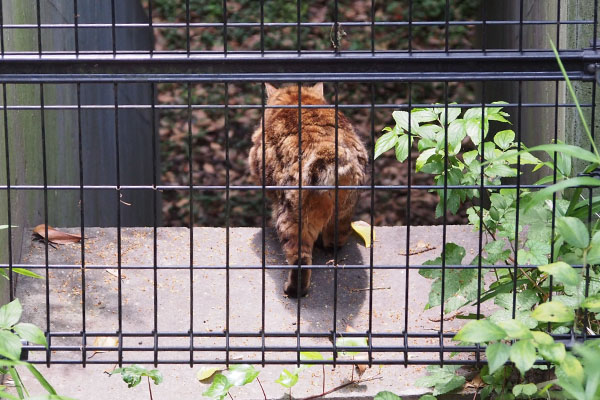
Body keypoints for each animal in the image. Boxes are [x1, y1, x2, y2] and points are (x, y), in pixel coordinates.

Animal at [246, 83, 368, 296]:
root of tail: (328, 152)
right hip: (344, 211)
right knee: (336, 239)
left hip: (292, 218)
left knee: (300, 258)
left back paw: (293, 290)